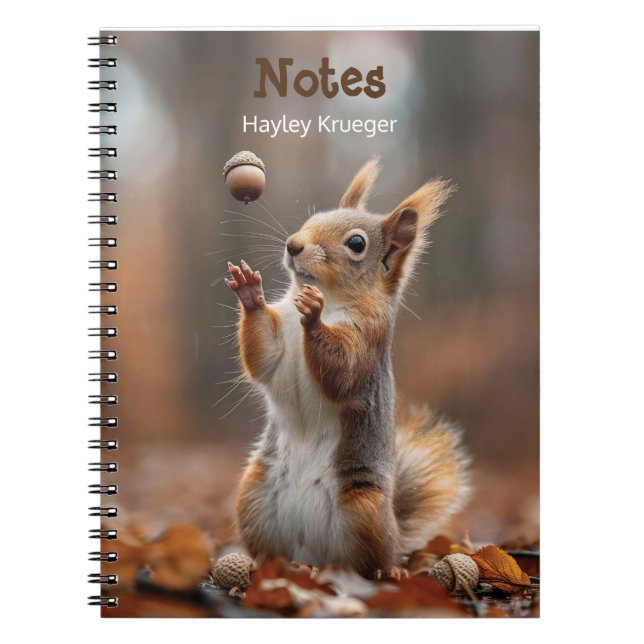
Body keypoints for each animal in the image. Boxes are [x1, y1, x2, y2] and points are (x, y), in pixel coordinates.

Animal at [225, 159, 470, 579]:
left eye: (357, 244)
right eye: (312, 218)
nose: (293, 244)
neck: (333, 298)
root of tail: (310, 552)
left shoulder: (368, 342)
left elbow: (344, 372)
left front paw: (314, 316)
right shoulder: (279, 340)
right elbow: (264, 357)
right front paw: (250, 294)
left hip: (363, 510)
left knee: (366, 562)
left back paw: (386, 571)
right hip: (252, 497)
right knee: (275, 549)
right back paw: (271, 566)